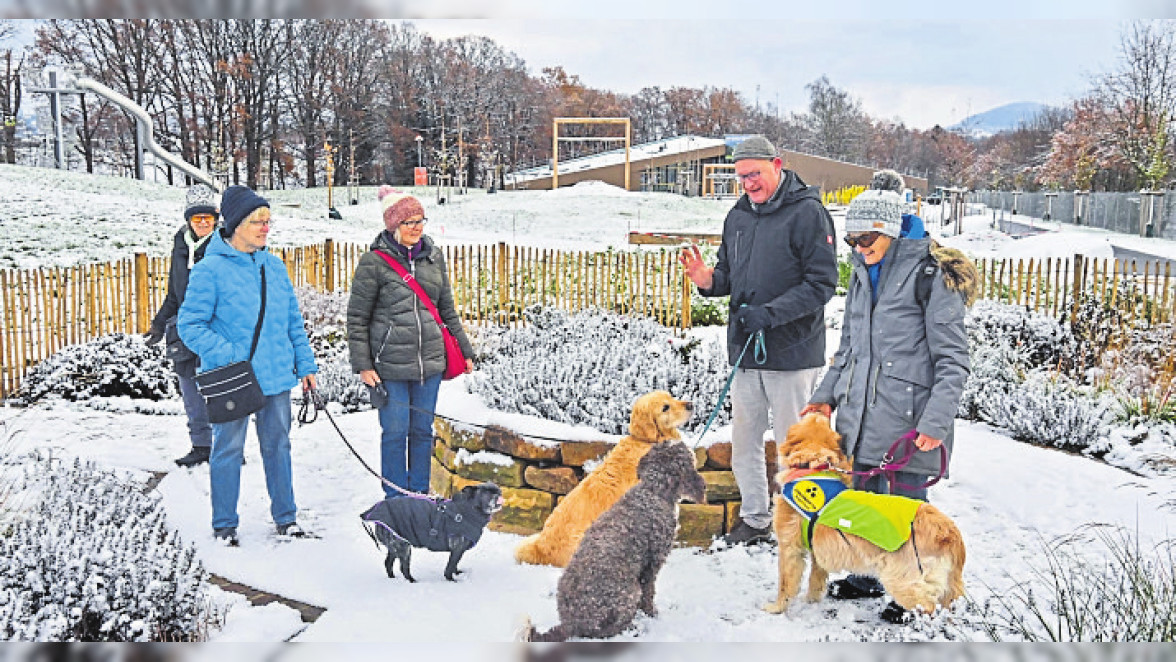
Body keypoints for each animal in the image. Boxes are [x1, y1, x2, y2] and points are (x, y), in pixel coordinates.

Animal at [762, 413, 964, 616]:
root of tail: (949, 532)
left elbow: (785, 583)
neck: (813, 467)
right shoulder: (817, 550)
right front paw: (811, 600)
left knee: (929, 607)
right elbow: (815, 579)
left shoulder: (789, 547)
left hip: (902, 578)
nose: (818, 412)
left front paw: (776, 607)